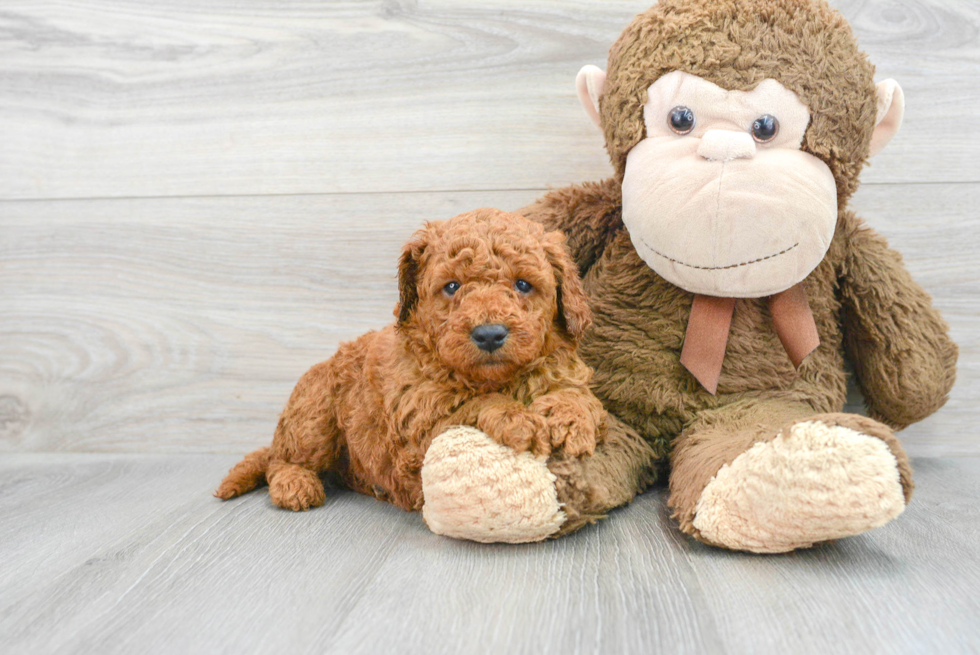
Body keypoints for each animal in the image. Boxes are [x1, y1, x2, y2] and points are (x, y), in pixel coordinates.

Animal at [216, 209, 604, 512]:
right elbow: (472, 404)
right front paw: (517, 419)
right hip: (314, 415)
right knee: (281, 460)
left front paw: (571, 421)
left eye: (523, 284)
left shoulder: (563, 371)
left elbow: (578, 396)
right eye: (452, 287)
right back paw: (295, 484)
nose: (490, 334)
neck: (495, 378)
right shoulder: (418, 426)